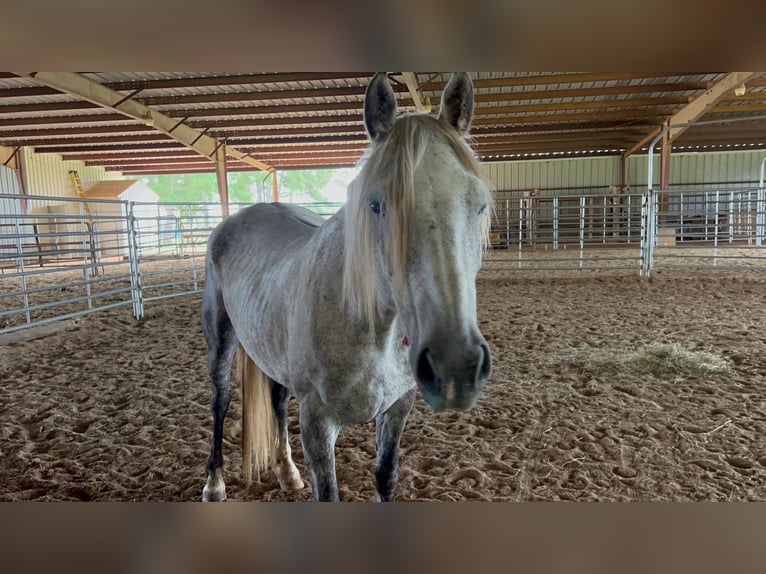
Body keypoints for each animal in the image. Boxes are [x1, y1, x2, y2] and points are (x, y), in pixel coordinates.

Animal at [201, 72, 493, 502]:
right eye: (376, 205)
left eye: (479, 203)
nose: (456, 366)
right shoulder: (318, 425)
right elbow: (329, 492)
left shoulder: (398, 406)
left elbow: (386, 476)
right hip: (221, 341)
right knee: (220, 402)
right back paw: (215, 482)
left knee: (277, 399)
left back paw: (287, 472)